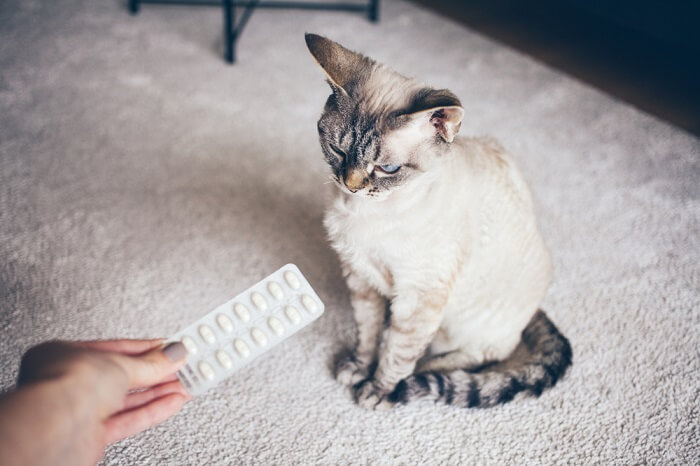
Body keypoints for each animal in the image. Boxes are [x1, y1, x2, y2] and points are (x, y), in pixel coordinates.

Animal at [306, 34, 576, 410]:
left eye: (388, 169)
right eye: (338, 151)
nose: (351, 184)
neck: (365, 213)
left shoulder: (418, 298)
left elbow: (396, 354)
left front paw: (379, 390)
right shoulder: (360, 277)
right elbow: (367, 333)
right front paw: (359, 368)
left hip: (460, 327)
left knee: (476, 358)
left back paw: (424, 370)